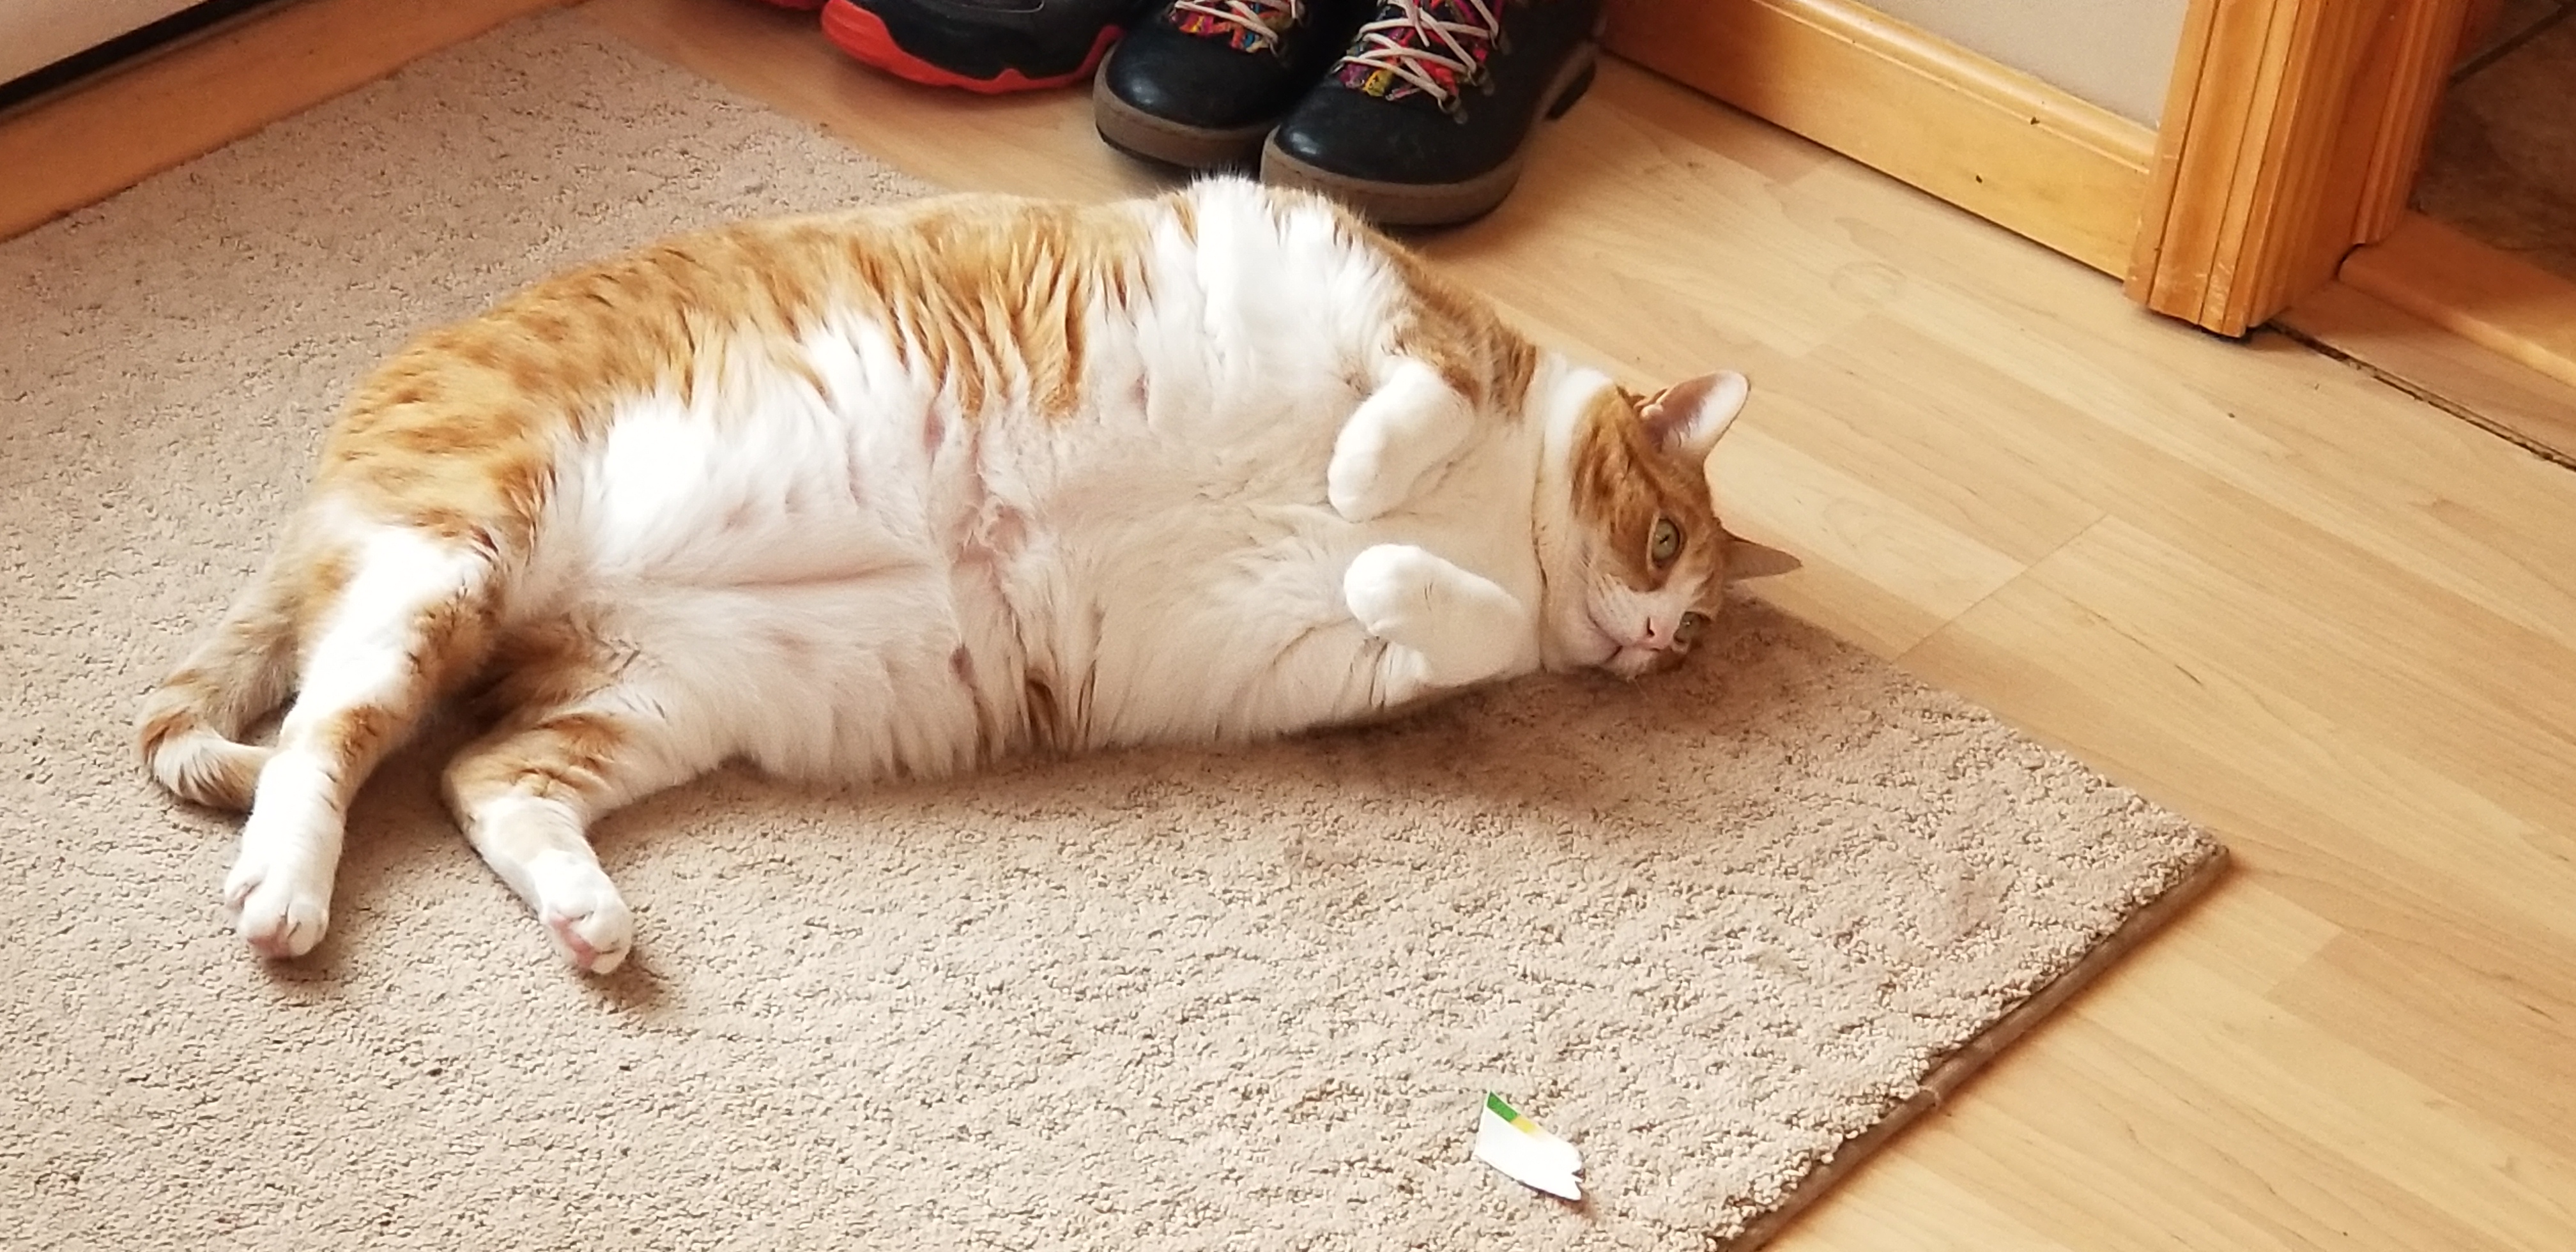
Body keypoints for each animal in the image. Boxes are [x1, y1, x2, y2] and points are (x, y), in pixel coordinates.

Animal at [138, 176, 1772, 975]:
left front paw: (1390, 555)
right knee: (324, 735)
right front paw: (1369, 479)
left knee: (485, 780)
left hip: (651, 699)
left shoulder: (1344, 657)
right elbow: (1420, 395)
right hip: (453, 553)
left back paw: (589, 919)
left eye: (1694, 635)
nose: (1649, 643)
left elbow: (1455, 620)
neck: (1492, 514)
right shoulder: (1361, 279)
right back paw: (284, 887)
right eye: (1668, 546)